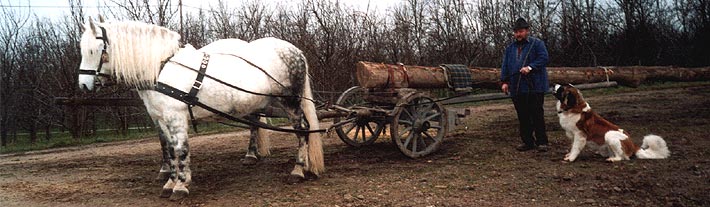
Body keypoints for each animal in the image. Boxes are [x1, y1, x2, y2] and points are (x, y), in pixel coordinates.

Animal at [78, 19, 322, 199]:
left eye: (93, 50)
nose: (83, 85)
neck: (162, 67)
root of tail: (295, 50)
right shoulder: (162, 119)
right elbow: (169, 149)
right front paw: (170, 182)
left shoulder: (176, 117)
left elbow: (180, 150)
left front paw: (180, 186)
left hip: (290, 102)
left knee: (302, 130)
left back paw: (298, 170)